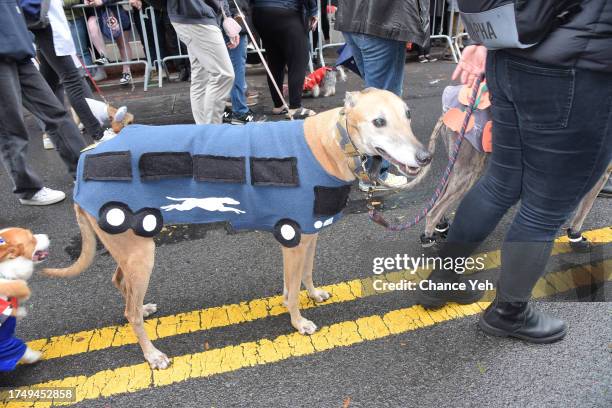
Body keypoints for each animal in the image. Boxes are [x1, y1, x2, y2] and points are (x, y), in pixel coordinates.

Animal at [44, 88, 430, 370]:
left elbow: (305, 275)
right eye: (378, 121)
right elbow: (291, 291)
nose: (425, 158)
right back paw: (151, 354)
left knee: (122, 287)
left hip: (130, 251)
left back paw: (145, 309)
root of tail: (91, 151)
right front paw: (298, 322)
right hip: (139, 251)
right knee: (129, 310)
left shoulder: (310, 233)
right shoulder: (293, 238)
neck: (329, 142)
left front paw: (313, 293)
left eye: (408, 115)